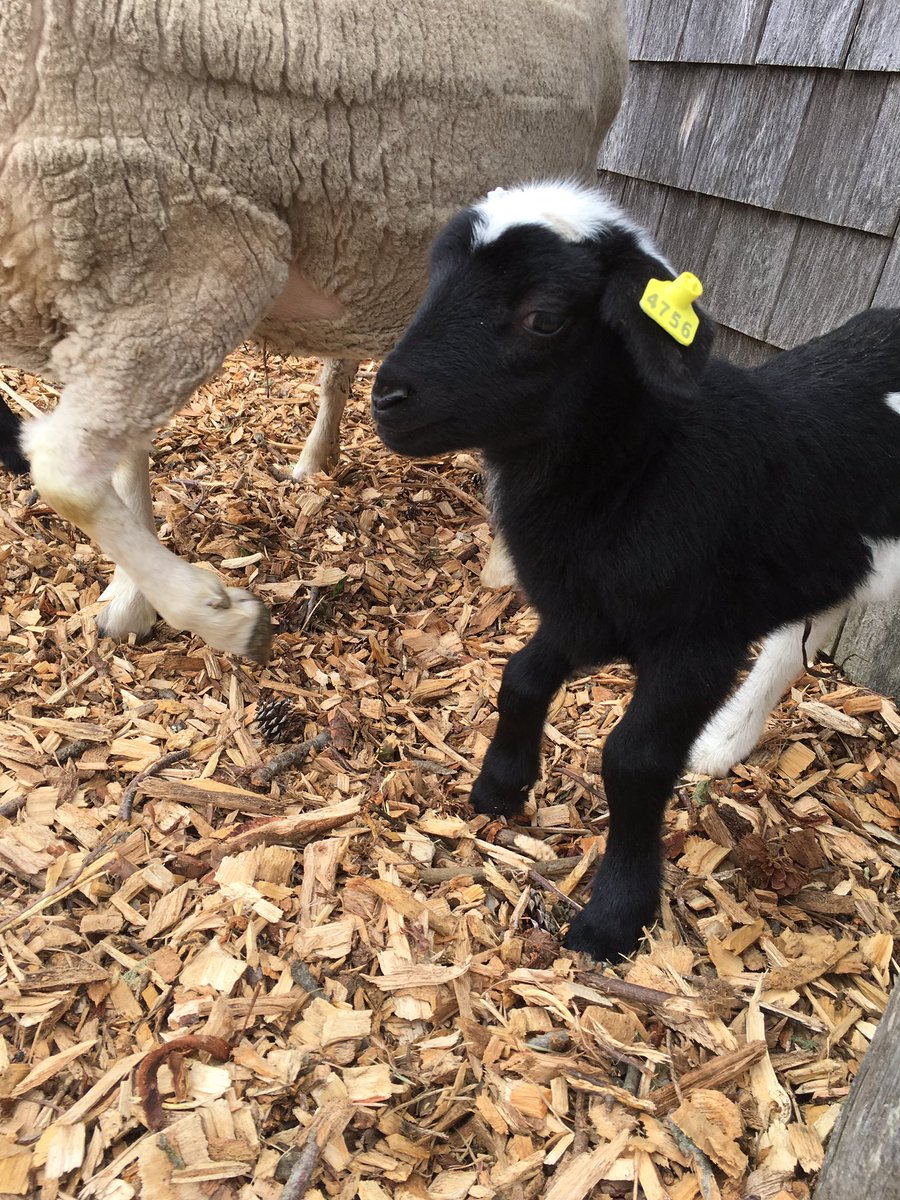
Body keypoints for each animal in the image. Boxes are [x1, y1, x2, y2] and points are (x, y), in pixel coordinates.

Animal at [0, 0, 627, 659]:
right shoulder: (113, 292)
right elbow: (120, 461)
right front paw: (130, 602)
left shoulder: (202, 258)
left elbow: (65, 473)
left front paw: (223, 616)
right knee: (343, 363)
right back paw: (312, 464)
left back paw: (507, 563)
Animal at [371, 180, 900, 962]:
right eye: (435, 281)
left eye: (544, 319)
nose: (387, 399)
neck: (645, 465)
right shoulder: (583, 613)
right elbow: (519, 679)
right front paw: (500, 788)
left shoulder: (698, 643)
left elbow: (634, 761)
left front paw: (615, 917)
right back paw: (725, 741)